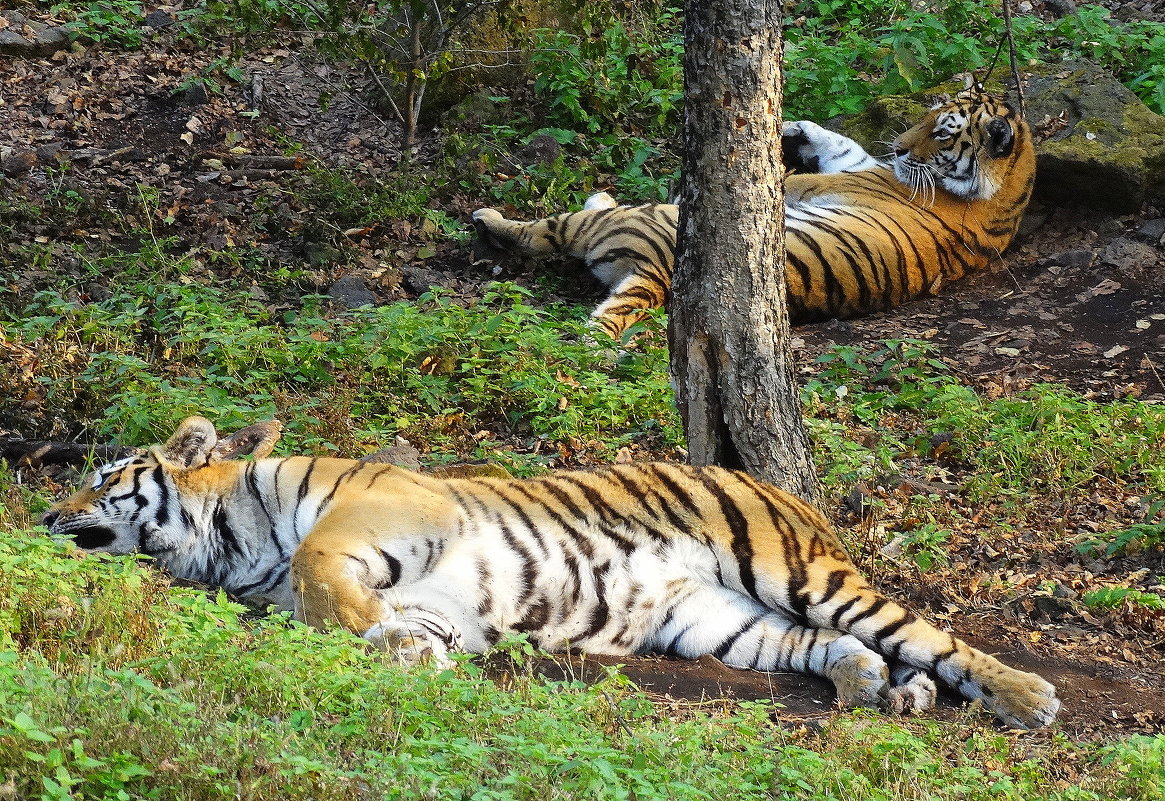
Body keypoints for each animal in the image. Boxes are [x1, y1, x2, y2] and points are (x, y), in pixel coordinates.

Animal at [41, 416, 1062, 731]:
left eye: (100, 476)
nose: (46, 515)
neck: (224, 548)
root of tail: (781, 486)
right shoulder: (441, 602)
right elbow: (386, 620)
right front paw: (406, 648)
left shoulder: (386, 510)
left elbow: (320, 568)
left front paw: (378, 635)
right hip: (717, 622)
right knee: (834, 645)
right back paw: (867, 684)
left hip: (793, 568)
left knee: (930, 635)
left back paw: (1025, 697)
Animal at [468, 89, 1034, 339]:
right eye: (926, 115)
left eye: (942, 132)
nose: (897, 147)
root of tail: (657, 275)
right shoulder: (860, 165)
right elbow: (842, 142)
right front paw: (791, 125)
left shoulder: (840, 179)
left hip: (632, 220)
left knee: (547, 230)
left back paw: (493, 217)